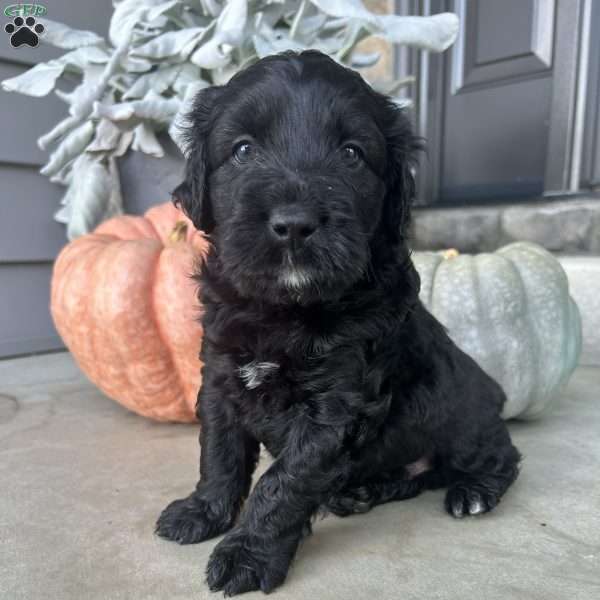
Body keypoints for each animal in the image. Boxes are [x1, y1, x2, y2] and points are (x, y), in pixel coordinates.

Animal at [156, 51, 520, 596]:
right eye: (243, 150)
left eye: (351, 154)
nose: (294, 224)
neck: (286, 307)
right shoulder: (220, 378)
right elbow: (219, 453)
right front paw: (202, 512)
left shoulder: (335, 407)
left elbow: (282, 482)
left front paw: (247, 556)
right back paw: (364, 491)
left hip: (465, 416)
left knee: (499, 453)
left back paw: (473, 490)